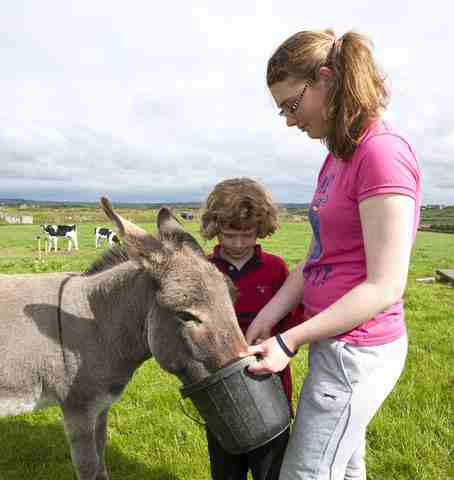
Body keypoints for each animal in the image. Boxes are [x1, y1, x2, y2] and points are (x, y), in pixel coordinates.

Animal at [0, 196, 245, 480]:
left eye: (233, 296)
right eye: (185, 315)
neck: (98, 326)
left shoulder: (101, 407)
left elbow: (101, 462)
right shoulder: (78, 411)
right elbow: (88, 467)